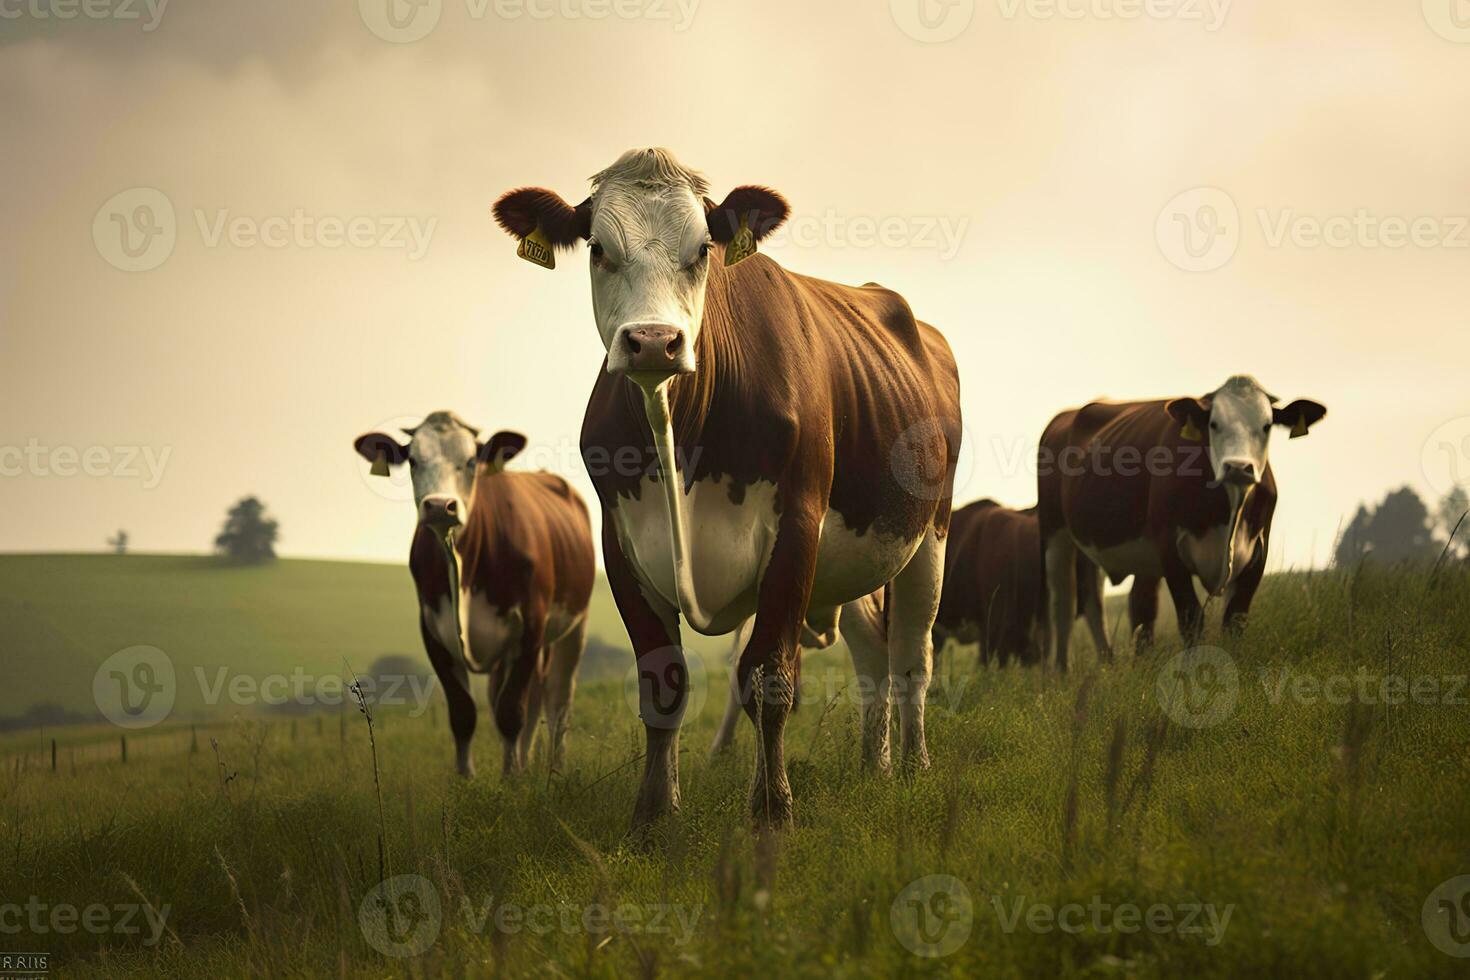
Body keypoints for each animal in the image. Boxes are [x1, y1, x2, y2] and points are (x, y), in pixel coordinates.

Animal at [352, 414, 593, 781]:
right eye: (413, 460)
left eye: (469, 461)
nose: (440, 506)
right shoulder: (433, 632)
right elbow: (464, 713)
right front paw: (467, 781)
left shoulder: (531, 627)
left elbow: (510, 712)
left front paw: (510, 781)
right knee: (530, 697)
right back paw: (526, 763)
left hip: (572, 627)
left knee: (557, 700)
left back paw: (554, 769)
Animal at [493, 149, 964, 834]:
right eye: (599, 249)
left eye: (703, 249)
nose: (654, 341)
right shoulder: (619, 543)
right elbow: (662, 684)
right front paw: (653, 818)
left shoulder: (796, 531)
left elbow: (767, 679)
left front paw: (772, 812)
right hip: (853, 561)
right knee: (872, 655)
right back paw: (873, 767)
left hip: (929, 533)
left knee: (910, 657)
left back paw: (913, 767)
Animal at [1034, 376, 1334, 667]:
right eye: (1213, 424)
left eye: (1266, 426)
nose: (1238, 467)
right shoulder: (1170, 549)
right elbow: (1191, 619)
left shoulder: (1257, 551)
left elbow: (1235, 620)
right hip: (1055, 534)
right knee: (1062, 605)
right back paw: (1060, 673)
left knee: (1116, 604)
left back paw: (1117, 665)